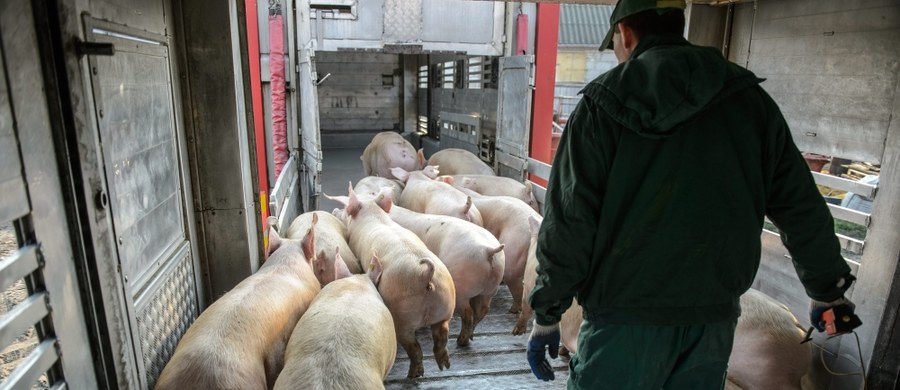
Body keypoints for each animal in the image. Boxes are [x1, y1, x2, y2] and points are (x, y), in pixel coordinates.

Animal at [334, 185, 458, 378]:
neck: (373, 214)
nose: (335, 211)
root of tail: (425, 274)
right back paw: (444, 366)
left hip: (402, 316)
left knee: (414, 348)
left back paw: (413, 375)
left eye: (347, 210)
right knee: (441, 336)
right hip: (446, 304)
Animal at [388, 206, 506, 346]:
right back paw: (470, 337)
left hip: (461, 288)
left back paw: (461, 341)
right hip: (491, 288)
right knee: (483, 309)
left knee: (468, 313)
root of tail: (488, 250)